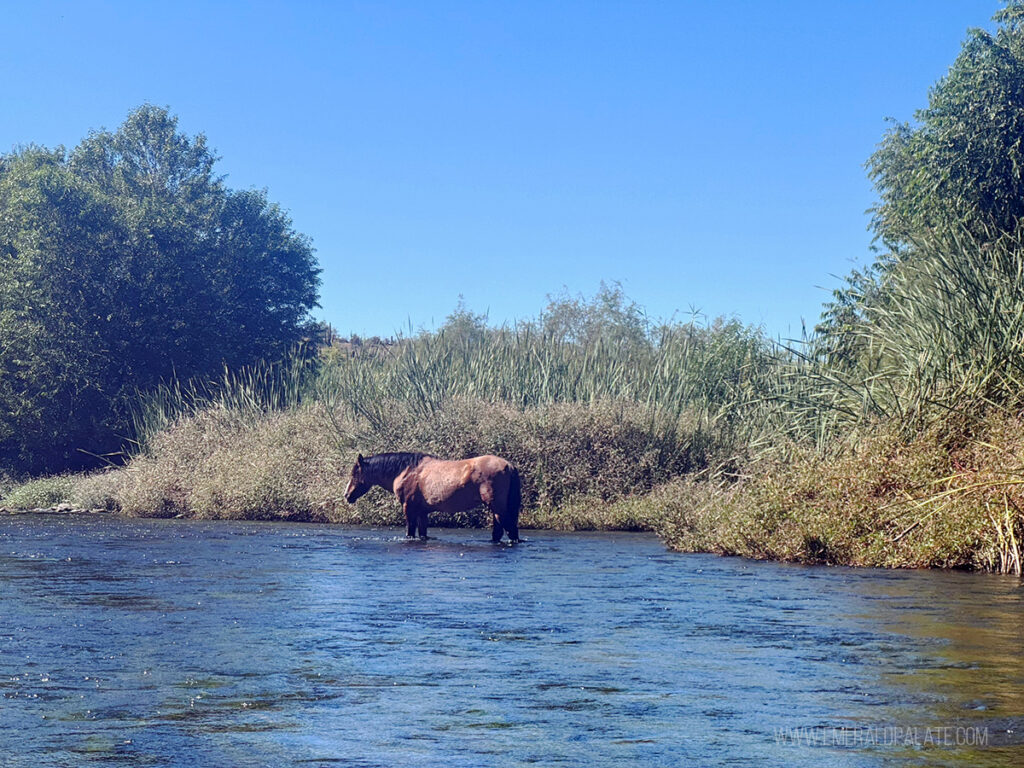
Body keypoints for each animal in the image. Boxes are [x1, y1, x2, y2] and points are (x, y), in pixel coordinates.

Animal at [344, 452, 521, 542]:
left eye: (354, 474)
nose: (346, 495)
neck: (407, 471)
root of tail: (508, 465)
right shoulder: (422, 512)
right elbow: (423, 533)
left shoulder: (409, 509)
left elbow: (410, 531)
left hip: (497, 508)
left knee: (510, 530)